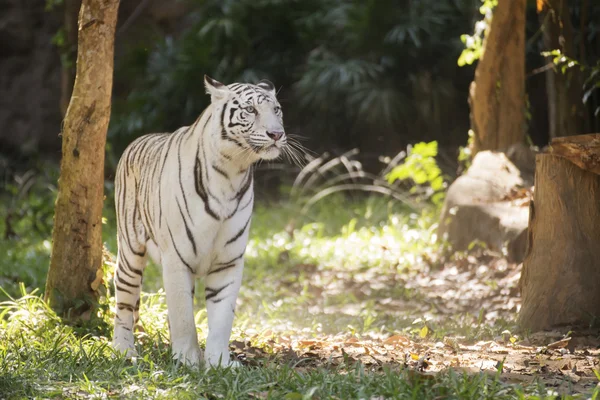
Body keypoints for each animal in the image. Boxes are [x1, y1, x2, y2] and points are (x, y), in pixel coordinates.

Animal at [112, 76, 286, 368]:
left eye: (276, 110)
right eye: (250, 110)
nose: (277, 134)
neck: (232, 173)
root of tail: (136, 140)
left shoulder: (228, 261)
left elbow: (222, 318)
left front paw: (219, 363)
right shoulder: (177, 259)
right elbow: (183, 315)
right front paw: (188, 361)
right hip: (129, 252)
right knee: (124, 303)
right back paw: (124, 350)